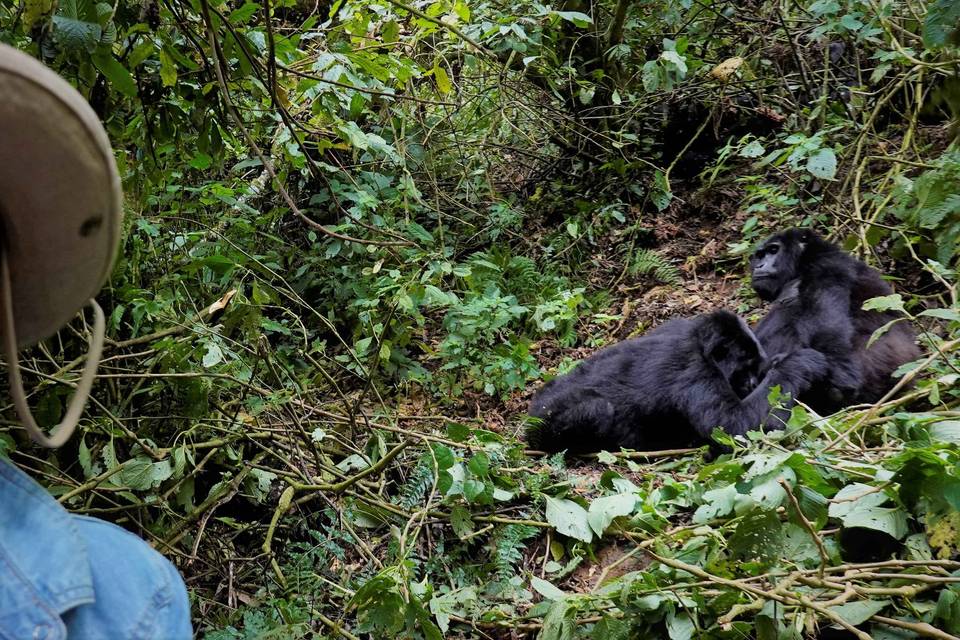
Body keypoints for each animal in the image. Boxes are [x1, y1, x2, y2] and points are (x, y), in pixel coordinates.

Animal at [524, 312, 824, 456]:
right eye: (745, 369)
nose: (751, 385)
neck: (700, 343)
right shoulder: (695, 373)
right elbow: (735, 429)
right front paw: (800, 363)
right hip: (545, 424)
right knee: (599, 409)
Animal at [752, 230, 924, 416]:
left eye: (773, 250)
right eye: (759, 255)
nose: (758, 266)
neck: (803, 262)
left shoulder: (827, 266)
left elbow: (826, 329)